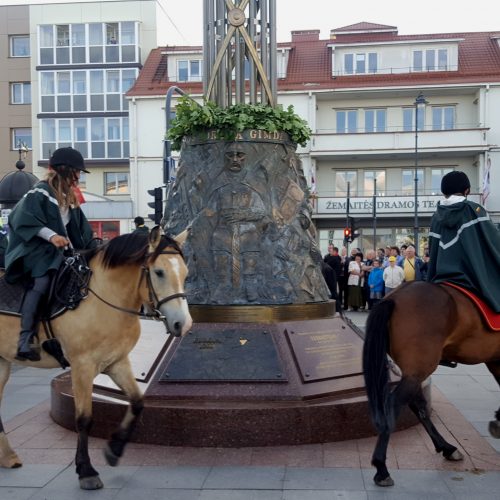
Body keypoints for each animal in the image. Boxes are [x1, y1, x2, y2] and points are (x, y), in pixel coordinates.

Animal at [0, 227, 191, 488]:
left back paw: (8, 456)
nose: (183, 323)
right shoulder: (82, 366)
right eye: (159, 272)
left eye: (185, 273)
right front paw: (86, 470)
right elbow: (84, 418)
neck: (104, 296)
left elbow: (137, 402)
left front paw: (114, 449)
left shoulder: (117, 362)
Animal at [364, 282, 500, 488]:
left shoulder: (495, 360)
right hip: (419, 369)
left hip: (414, 371)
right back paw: (381, 468)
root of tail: (394, 297)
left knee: (418, 405)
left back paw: (447, 447)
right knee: (395, 402)